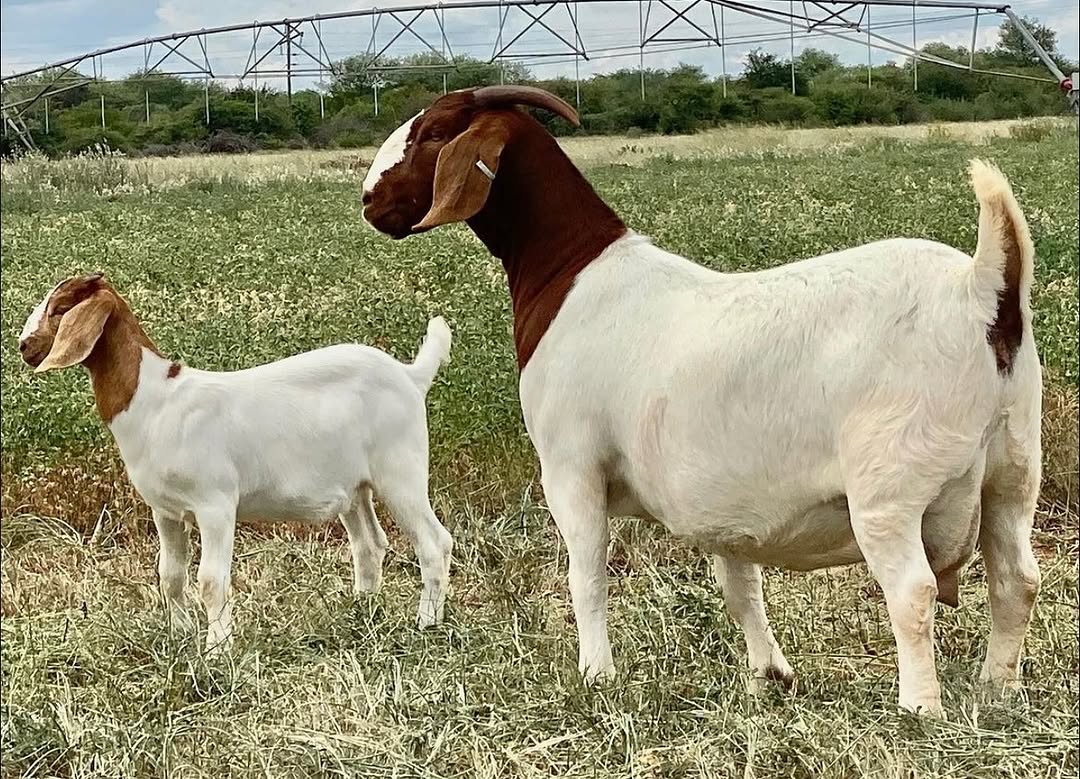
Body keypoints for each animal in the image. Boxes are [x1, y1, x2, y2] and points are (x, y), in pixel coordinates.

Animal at [19, 274, 454, 651]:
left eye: (59, 308)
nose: (24, 346)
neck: (156, 402)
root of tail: (410, 376)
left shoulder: (215, 503)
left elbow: (211, 580)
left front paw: (217, 649)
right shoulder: (165, 510)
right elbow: (170, 575)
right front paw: (179, 635)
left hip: (400, 470)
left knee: (435, 542)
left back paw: (426, 623)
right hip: (355, 486)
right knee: (369, 544)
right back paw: (360, 614)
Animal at [360, 86, 1042, 717]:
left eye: (432, 132)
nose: (368, 201)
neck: (572, 276)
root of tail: (983, 287)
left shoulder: (570, 464)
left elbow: (588, 574)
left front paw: (596, 675)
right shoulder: (722, 503)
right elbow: (740, 586)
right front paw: (770, 676)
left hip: (890, 485)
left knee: (913, 590)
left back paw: (919, 707)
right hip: (1012, 467)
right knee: (1017, 579)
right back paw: (998, 688)